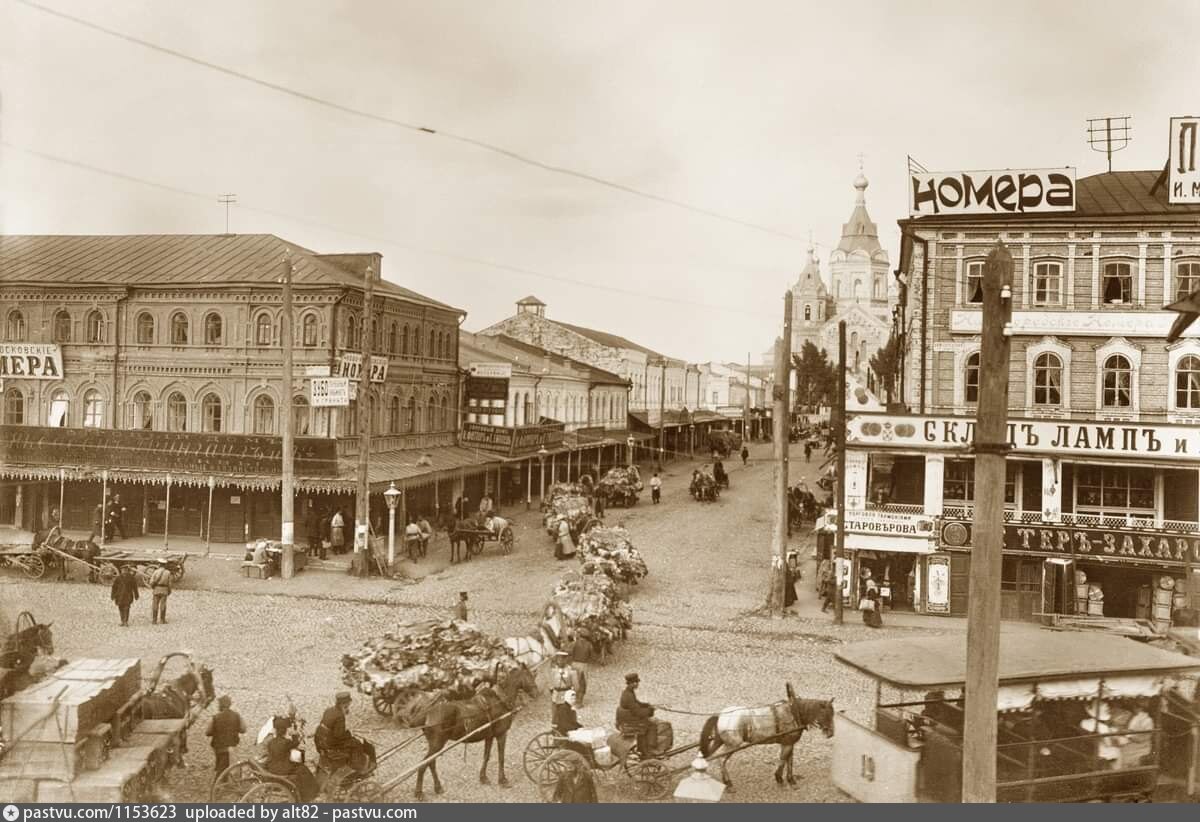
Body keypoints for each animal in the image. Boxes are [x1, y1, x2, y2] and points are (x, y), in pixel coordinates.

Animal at [417, 662, 540, 796]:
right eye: (529, 676)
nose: (536, 693)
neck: (500, 700)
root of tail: (428, 715)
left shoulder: (489, 736)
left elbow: (486, 756)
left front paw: (483, 778)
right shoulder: (501, 734)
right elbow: (501, 757)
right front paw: (502, 780)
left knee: (431, 763)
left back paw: (438, 788)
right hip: (437, 744)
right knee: (423, 764)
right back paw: (419, 793)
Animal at [696, 681, 835, 787]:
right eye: (827, 714)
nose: (831, 733)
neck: (794, 712)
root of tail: (721, 715)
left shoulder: (789, 743)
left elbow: (789, 761)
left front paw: (790, 779)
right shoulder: (787, 744)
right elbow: (783, 760)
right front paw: (779, 778)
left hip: (718, 742)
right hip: (732, 745)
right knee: (721, 759)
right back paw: (728, 782)